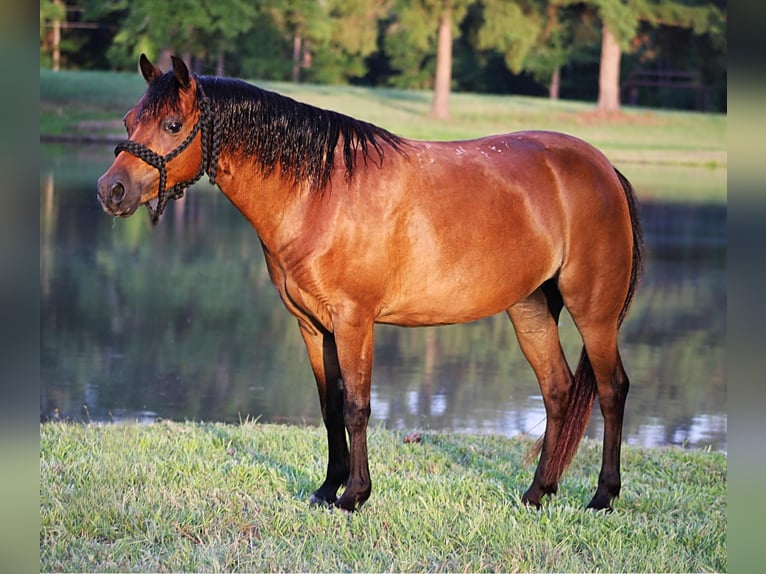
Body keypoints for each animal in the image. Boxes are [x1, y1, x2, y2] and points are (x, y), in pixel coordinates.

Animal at [99, 56, 644, 516]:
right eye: (129, 121)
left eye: (172, 125)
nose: (111, 191)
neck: (318, 193)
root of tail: (603, 167)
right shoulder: (313, 326)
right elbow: (330, 406)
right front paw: (326, 488)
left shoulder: (354, 322)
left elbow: (358, 407)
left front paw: (354, 496)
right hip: (529, 309)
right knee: (557, 391)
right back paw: (537, 493)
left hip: (593, 313)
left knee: (612, 389)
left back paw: (602, 496)